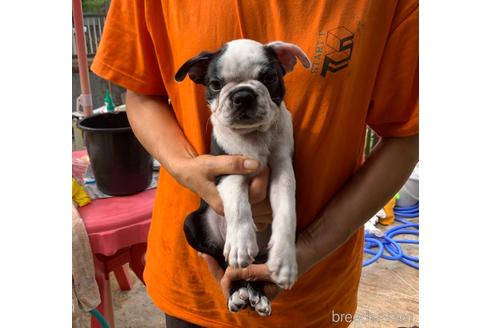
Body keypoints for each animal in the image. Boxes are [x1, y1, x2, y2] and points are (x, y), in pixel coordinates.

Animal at [175, 39, 310, 318]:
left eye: (269, 77)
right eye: (216, 84)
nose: (243, 95)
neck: (254, 137)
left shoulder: (282, 170)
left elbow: (286, 211)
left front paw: (285, 261)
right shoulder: (229, 167)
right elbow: (238, 202)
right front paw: (240, 243)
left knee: (253, 268)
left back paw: (257, 295)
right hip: (192, 224)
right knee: (225, 261)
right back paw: (238, 291)